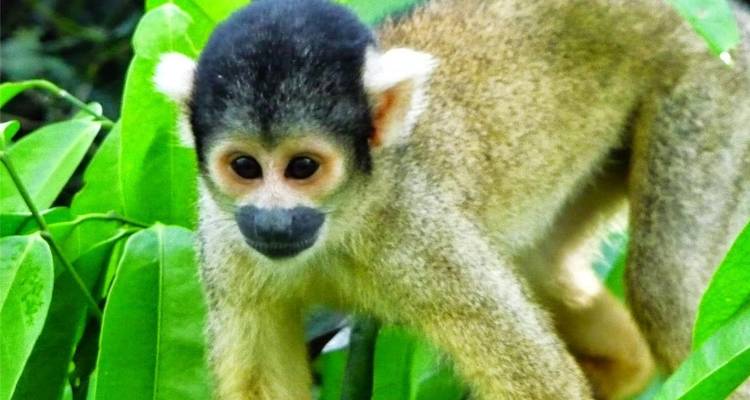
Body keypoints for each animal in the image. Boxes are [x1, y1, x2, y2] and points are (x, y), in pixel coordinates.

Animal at [153, 0, 750, 398]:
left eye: (302, 168)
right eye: (245, 168)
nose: (273, 222)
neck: (347, 218)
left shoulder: (424, 237)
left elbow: (539, 384)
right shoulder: (225, 242)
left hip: (711, 90)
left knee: (663, 286)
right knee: (544, 264)